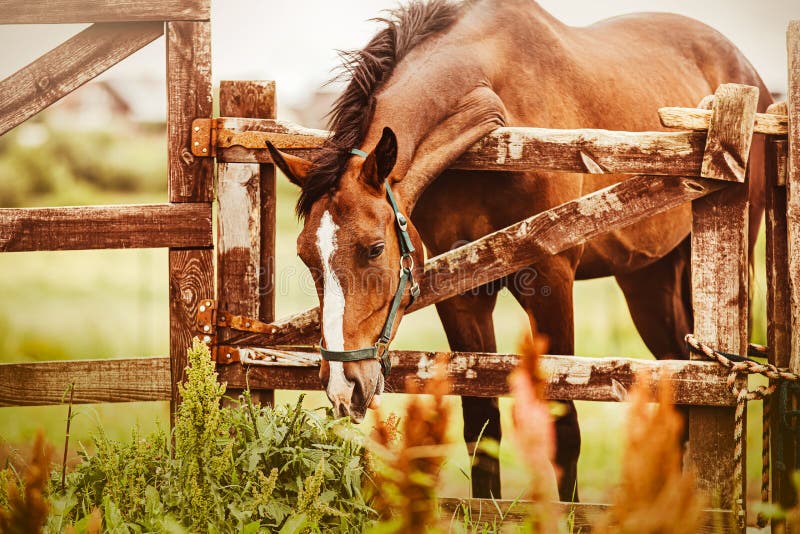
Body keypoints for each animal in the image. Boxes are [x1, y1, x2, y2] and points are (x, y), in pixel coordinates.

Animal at [266, 0, 772, 502]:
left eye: (373, 248)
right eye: (306, 256)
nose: (342, 387)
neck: (501, 98)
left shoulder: (551, 280)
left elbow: (565, 430)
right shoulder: (463, 293)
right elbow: (482, 426)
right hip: (648, 278)